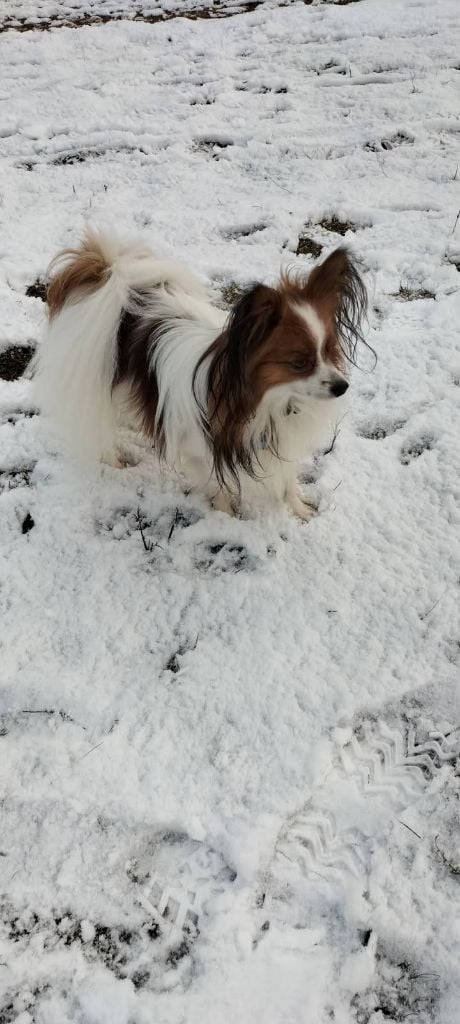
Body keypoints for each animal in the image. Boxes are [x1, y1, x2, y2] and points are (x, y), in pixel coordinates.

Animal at [34, 234, 366, 520]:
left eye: (329, 350)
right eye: (299, 363)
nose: (342, 387)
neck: (270, 400)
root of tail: (113, 276)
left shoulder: (284, 442)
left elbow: (288, 482)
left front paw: (300, 510)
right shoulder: (200, 452)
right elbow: (220, 488)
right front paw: (226, 518)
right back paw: (114, 459)